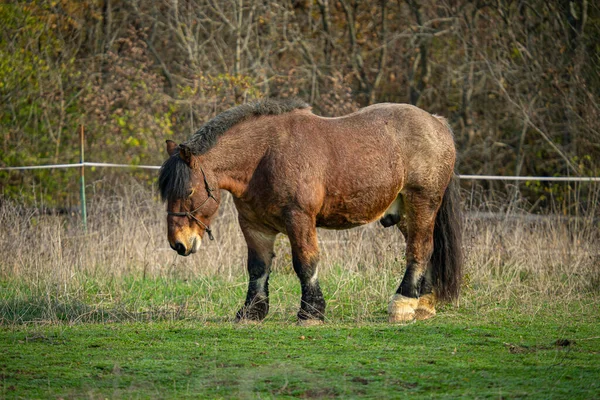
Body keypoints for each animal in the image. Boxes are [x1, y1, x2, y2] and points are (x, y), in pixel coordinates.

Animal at [157, 98, 462, 324]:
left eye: (189, 192)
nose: (178, 244)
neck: (264, 156)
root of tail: (437, 122)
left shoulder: (299, 219)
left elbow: (305, 263)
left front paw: (311, 312)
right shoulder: (254, 226)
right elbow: (257, 267)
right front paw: (252, 311)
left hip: (422, 203)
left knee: (419, 249)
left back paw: (403, 304)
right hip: (405, 213)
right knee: (426, 248)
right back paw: (423, 305)